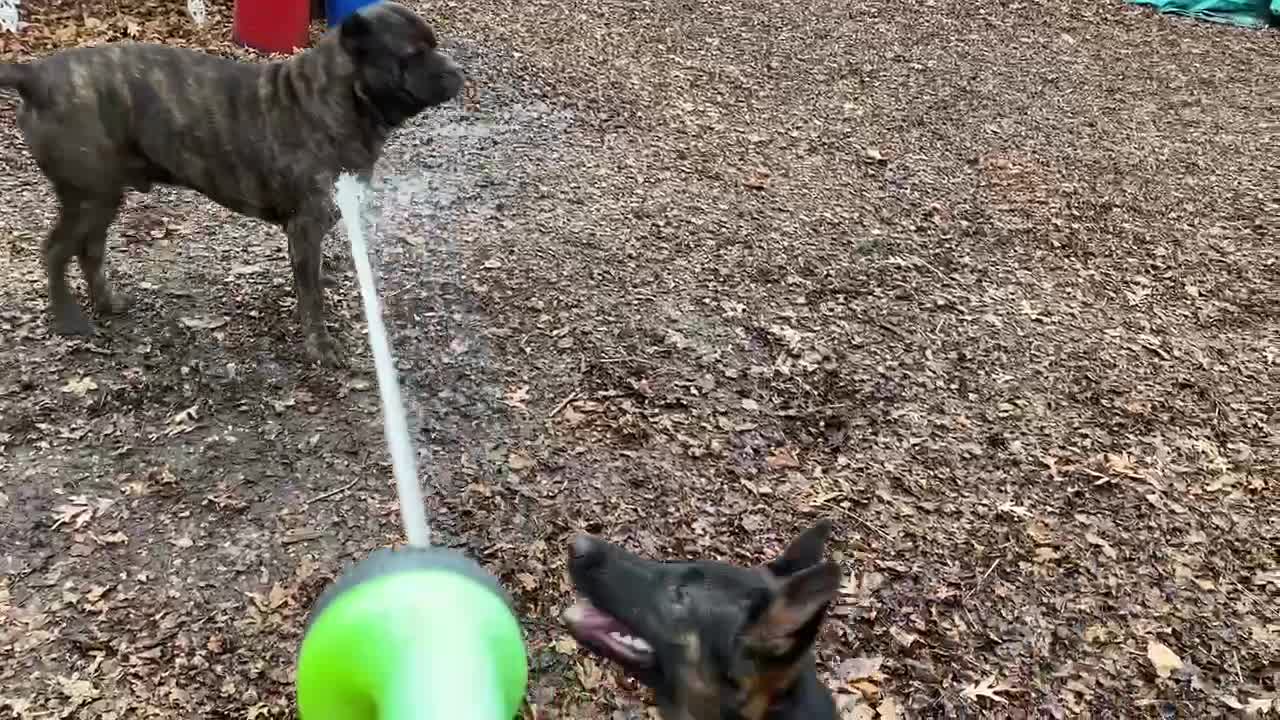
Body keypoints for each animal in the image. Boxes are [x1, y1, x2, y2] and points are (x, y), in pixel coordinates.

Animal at [0, 1, 460, 363]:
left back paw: (108, 303)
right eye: (414, 53)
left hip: (102, 197)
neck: (337, 99)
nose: (456, 70)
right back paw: (68, 318)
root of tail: (34, 75)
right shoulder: (305, 226)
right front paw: (320, 346)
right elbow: (311, 297)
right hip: (88, 196)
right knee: (56, 251)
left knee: (89, 250)